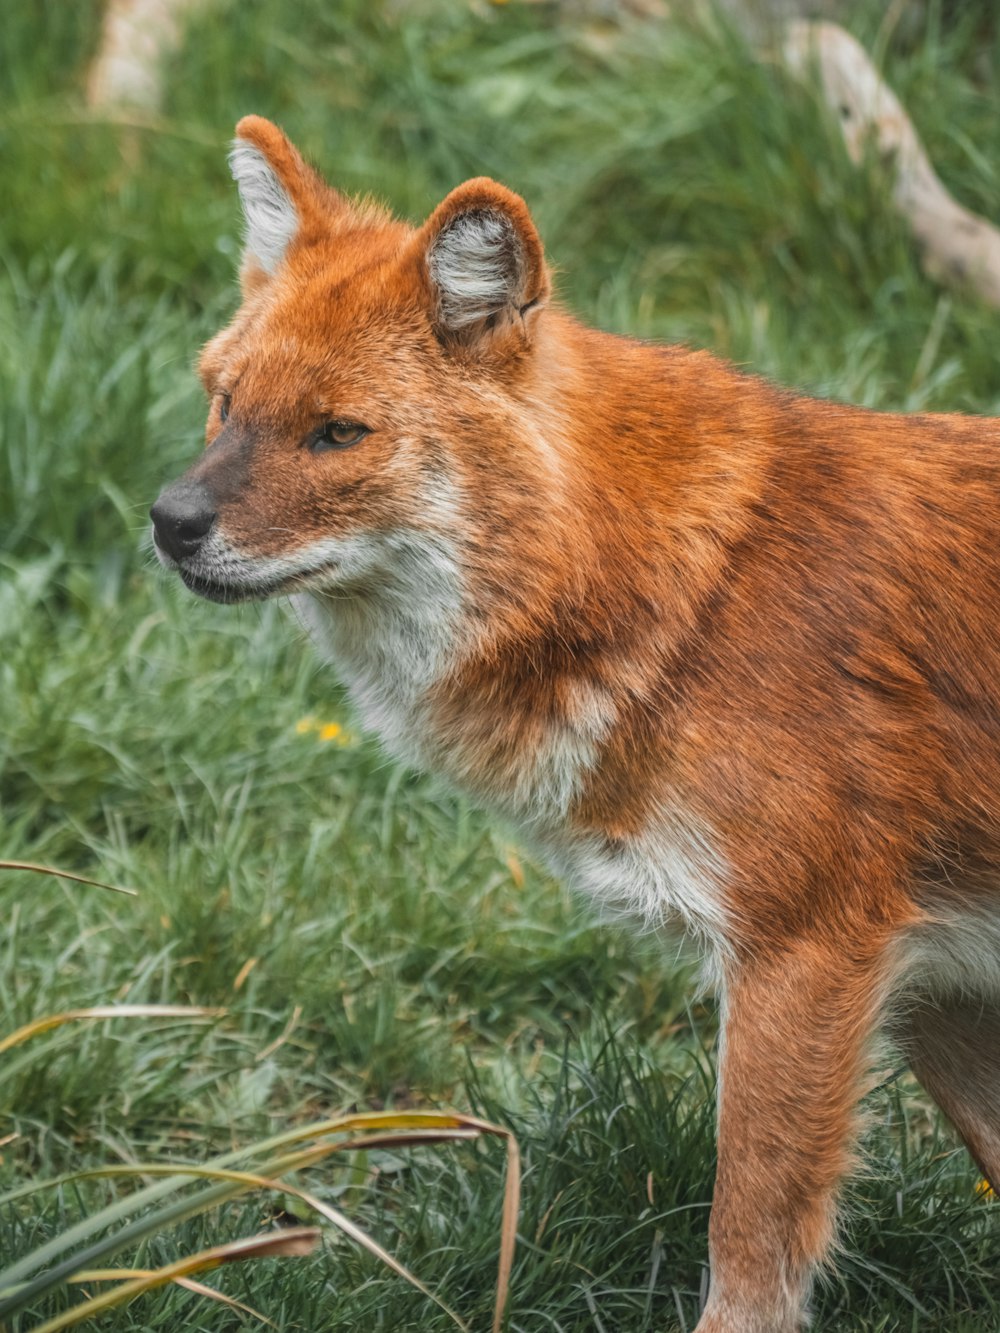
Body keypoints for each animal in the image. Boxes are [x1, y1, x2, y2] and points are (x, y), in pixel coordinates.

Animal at [148, 117, 1000, 1333]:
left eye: (338, 432)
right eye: (224, 400)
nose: (169, 522)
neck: (682, 591)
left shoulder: (805, 951)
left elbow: (749, 1243)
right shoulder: (934, 978)